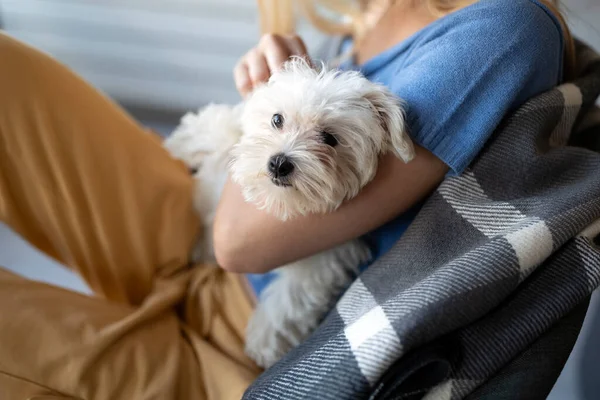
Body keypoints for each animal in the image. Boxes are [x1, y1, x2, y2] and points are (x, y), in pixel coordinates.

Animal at [164, 57, 418, 368]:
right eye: (277, 120)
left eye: (329, 138)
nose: (279, 163)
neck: (276, 202)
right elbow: (217, 126)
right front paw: (178, 142)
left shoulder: (326, 253)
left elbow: (293, 297)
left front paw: (263, 342)